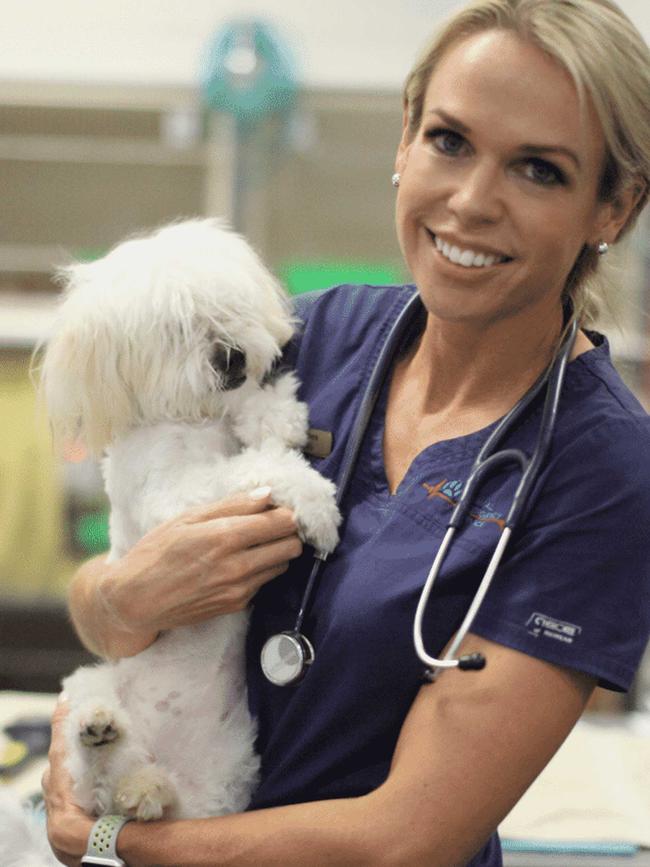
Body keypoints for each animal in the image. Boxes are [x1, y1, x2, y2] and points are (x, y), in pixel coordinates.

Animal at [1, 219, 340, 867]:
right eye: (175, 331)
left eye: (228, 312)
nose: (231, 356)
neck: (196, 422)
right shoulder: (176, 499)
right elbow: (258, 468)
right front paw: (315, 504)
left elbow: (262, 425)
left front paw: (275, 409)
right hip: (87, 687)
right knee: (94, 783)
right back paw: (104, 741)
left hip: (226, 775)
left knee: (145, 804)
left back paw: (145, 791)